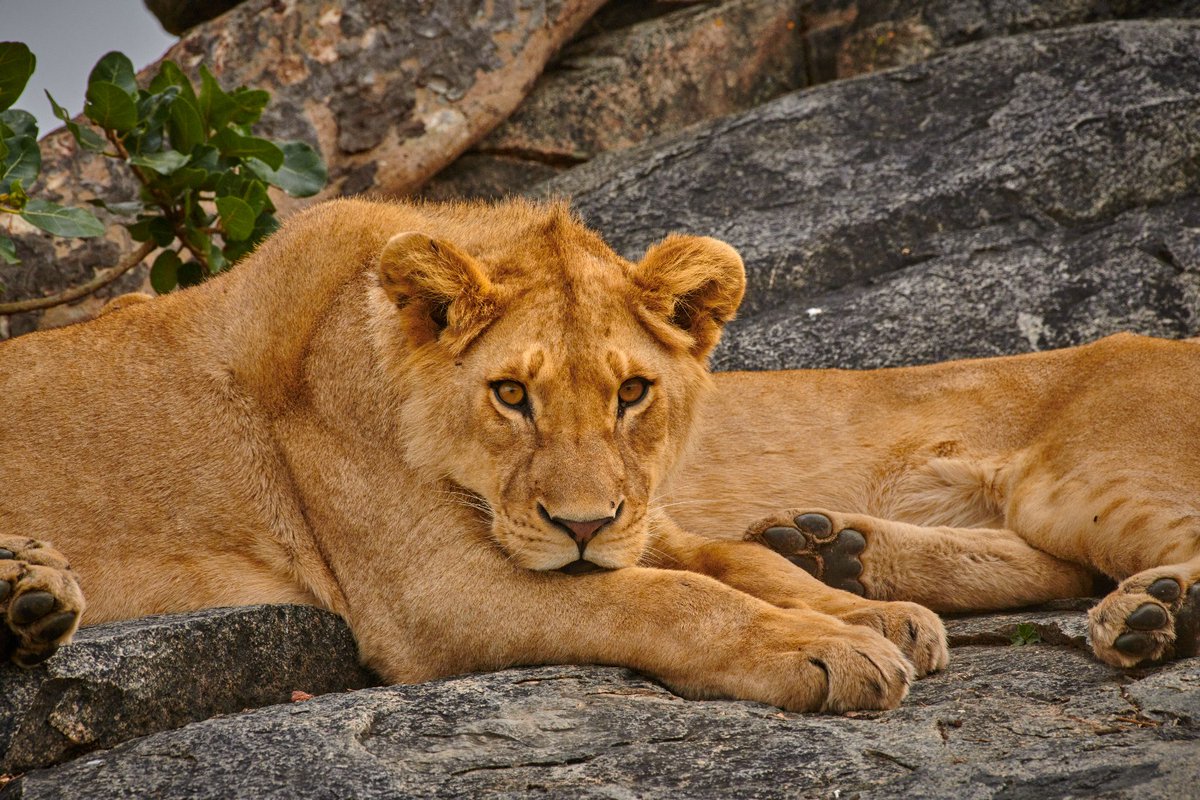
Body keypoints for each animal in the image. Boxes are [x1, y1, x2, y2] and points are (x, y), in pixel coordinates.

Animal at [0, 199, 1193, 716]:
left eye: (632, 392)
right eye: (509, 394)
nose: (580, 525)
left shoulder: (641, 511)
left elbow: (730, 560)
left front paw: (861, 605)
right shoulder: (435, 592)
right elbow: (670, 598)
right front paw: (828, 645)